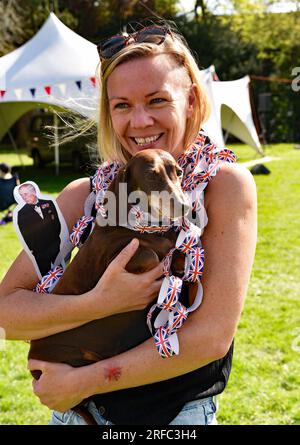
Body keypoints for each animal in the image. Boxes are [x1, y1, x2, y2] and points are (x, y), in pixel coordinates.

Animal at [28, 148, 192, 424]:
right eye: (151, 175)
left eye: (178, 172)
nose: (185, 206)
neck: (145, 230)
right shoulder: (114, 260)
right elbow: (149, 255)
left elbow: (176, 253)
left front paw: (178, 263)